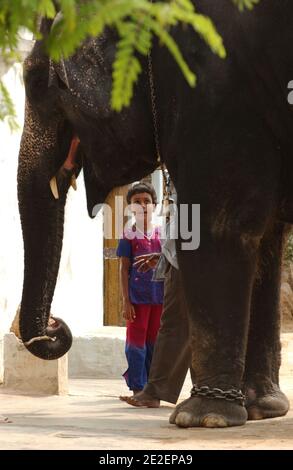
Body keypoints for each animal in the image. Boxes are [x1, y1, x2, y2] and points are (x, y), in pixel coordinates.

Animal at [17, 0, 292, 428]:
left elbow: (220, 228)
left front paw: (202, 419)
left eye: (35, 82)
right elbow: (264, 242)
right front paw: (262, 410)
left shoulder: (214, 90)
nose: (54, 327)